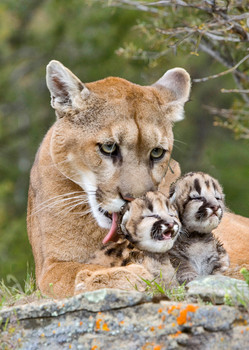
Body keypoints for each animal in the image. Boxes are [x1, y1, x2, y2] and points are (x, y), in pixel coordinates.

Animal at [27, 60, 249, 298]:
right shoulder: (50, 266)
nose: (134, 200)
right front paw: (127, 276)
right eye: (108, 147)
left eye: (157, 152)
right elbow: (75, 272)